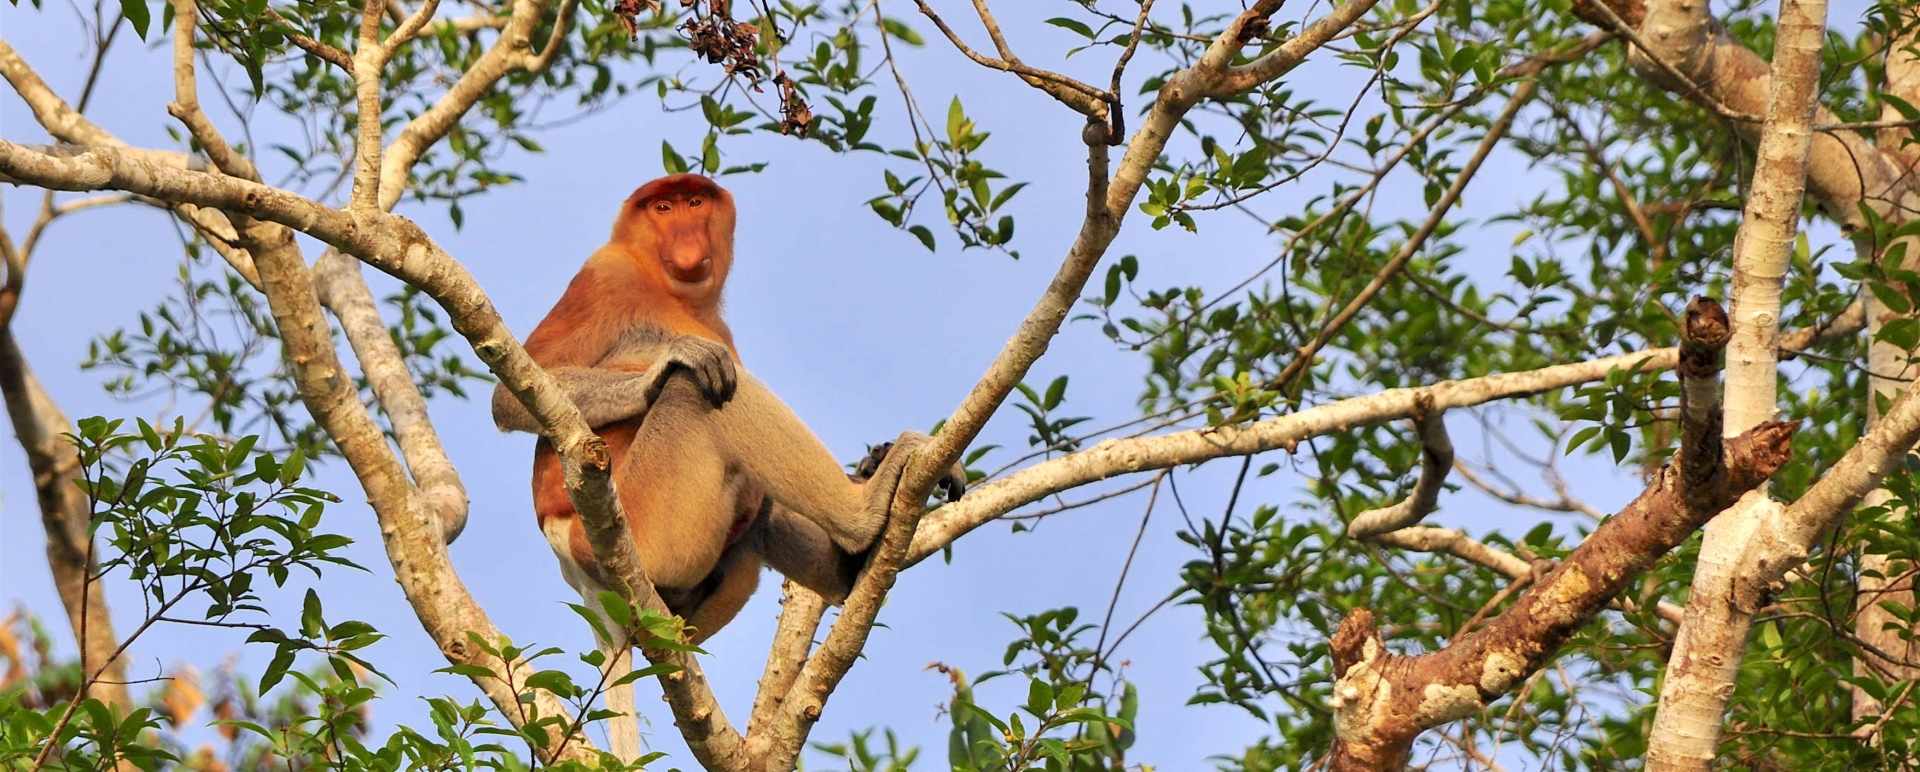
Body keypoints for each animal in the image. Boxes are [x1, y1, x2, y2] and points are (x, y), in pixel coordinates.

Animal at [490, 173, 965, 762]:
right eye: (662, 207)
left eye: (695, 202)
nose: (686, 236)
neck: (665, 285)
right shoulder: (605, 273)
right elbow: (511, 399)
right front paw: (667, 364)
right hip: (647, 528)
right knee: (700, 393)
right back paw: (865, 512)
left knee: (755, 515)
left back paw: (852, 556)